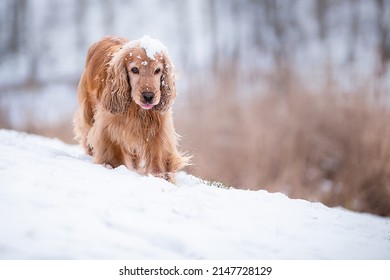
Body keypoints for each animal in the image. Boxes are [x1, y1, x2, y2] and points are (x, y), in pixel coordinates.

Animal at [74, 35, 190, 184]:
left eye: (157, 70)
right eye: (135, 70)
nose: (148, 96)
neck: (136, 108)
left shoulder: (159, 125)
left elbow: (158, 152)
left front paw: (159, 177)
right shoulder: (109, 126)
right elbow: (114, 150)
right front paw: (115, 167)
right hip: (87, 111)